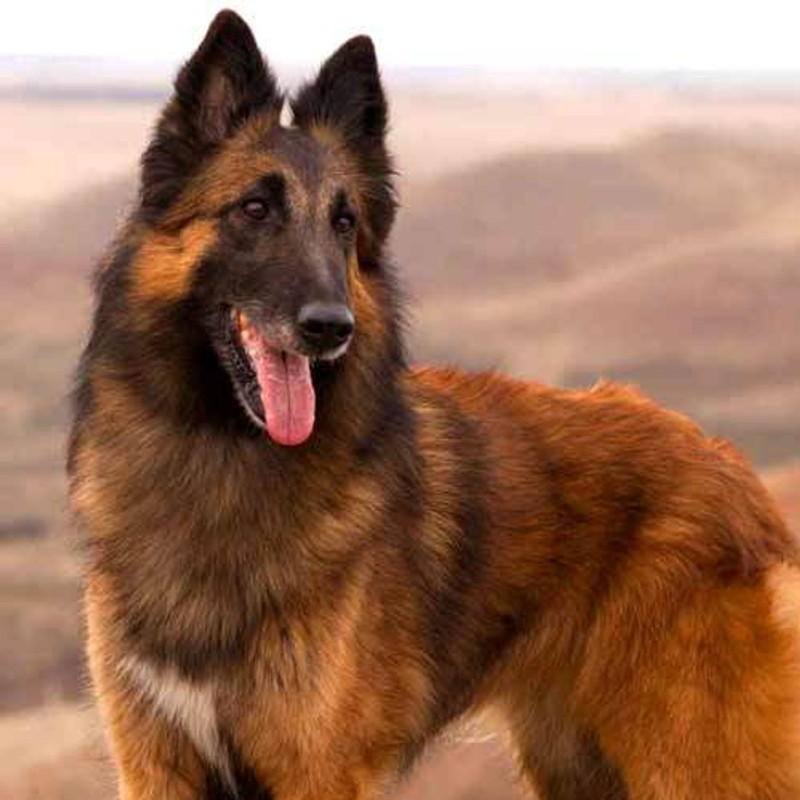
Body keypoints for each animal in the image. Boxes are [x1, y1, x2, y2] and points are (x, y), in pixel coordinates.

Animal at [69, 7, 800, 800]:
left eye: (345, 223)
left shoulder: (317, 770)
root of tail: (738, 475)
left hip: (693, 758)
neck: (220, 456)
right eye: (254, 209)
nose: (330, 327)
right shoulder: (156, 762)